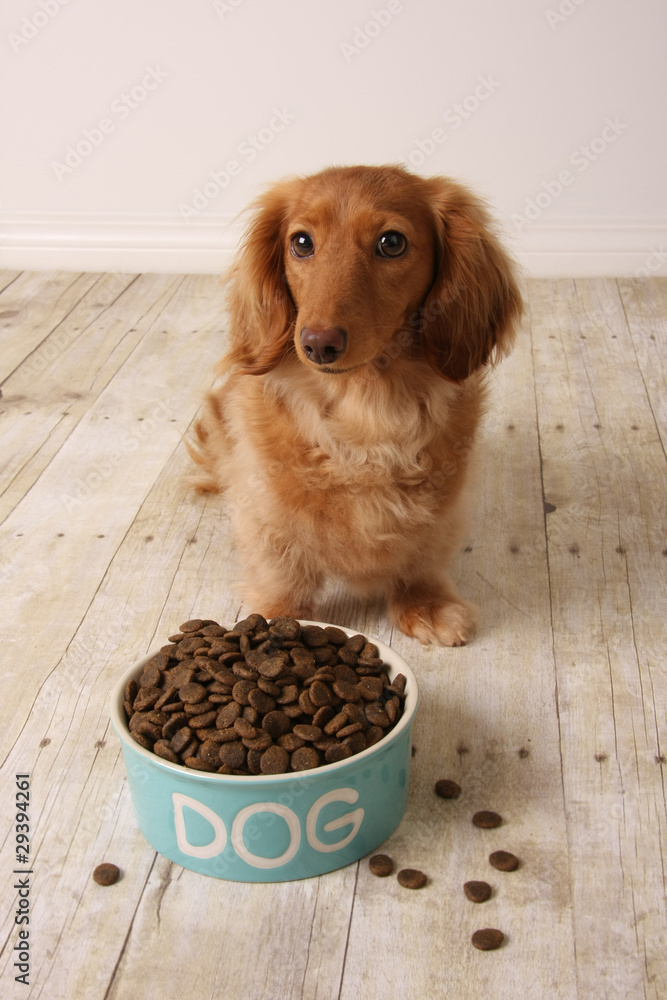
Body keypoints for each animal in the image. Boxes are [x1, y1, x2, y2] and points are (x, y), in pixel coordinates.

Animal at [188, 162, 520, 648]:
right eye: (301, 242)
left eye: (392, 242)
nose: (317, 344)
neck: (365, 410)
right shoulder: (267, 512)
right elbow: (281, 568)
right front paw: (277, 619)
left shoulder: (441, 508)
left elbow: (420, 557)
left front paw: (426, 604)